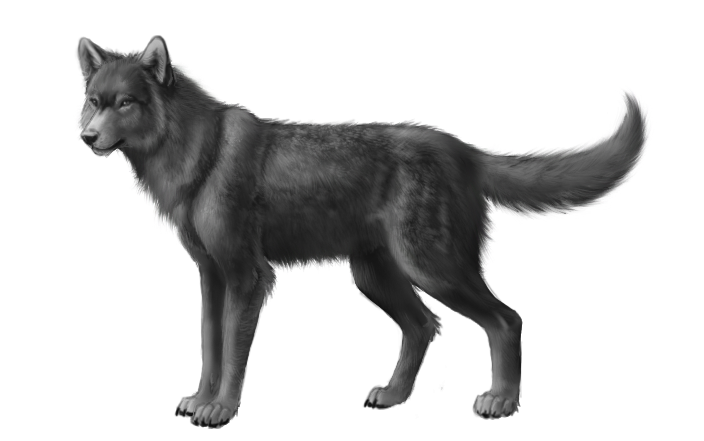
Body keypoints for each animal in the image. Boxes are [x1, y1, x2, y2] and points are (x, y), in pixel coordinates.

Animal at [76, 35, 655, 427]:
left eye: (125, 103)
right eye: (93, 101)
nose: (86, 137)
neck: (197, 155)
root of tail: (465, 151)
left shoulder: (248, 277)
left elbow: (234, 355)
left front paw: (220, 408)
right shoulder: (211, 276)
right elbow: (209, 348)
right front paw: (200, 400)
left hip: (432, 270)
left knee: (504, 320)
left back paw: (500, 403)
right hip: (376, 278)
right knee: (423, 327)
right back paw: (394, 396)